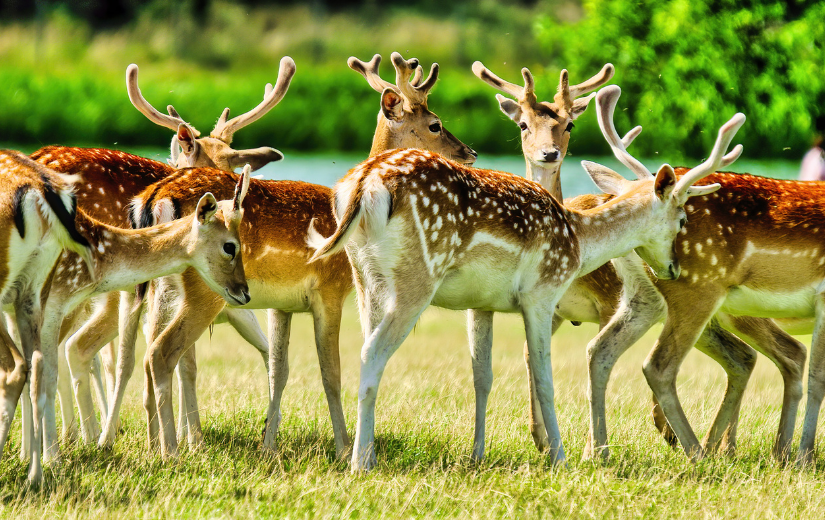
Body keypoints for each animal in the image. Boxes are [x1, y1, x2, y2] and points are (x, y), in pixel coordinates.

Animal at [308, 85, 748, 472]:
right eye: (683, 219)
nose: (673, 267)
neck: (577, 240)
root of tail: (365, 183)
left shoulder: (482, 302)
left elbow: (483, 375)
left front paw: (478, 456)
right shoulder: (541, 292)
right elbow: (544, 377)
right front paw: (560, 458)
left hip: (366, 278)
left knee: (362, 348)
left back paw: (363, 454)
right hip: (416, 278)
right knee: (372, 353)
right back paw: (361, 463)